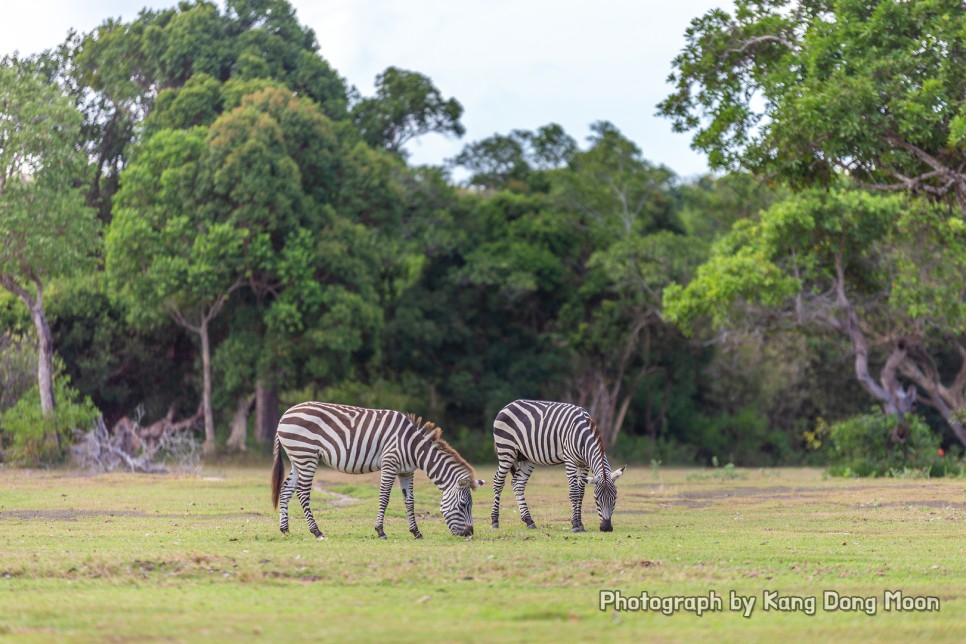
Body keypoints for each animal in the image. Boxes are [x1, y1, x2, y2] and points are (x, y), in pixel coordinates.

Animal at [270, 402, 484, 540]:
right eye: (463, 505)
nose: (469, 533)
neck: (414, 447)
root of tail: (283, 416)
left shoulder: (407, 471)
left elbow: (410, 501)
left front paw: (416, 532)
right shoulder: (390, 463)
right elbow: (384, 497)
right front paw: (380, 531)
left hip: (298, 459)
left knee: (286, 490)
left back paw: (284, 529)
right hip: (307, 456)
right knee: (303, 493)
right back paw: (317, 531)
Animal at [492, 398, 628, 532]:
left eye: (615, 498)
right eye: (597, 499)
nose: (606, 528)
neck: (582, 435)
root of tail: (508, 405)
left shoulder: (584, 464)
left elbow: (581, 493)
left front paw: (579, 523)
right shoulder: (570, 460)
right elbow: (574, 492)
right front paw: (575, 525)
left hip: (527, 457)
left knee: (518, 483)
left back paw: (529, 521)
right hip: (506, 450)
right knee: (498, 482)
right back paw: (494, 521)